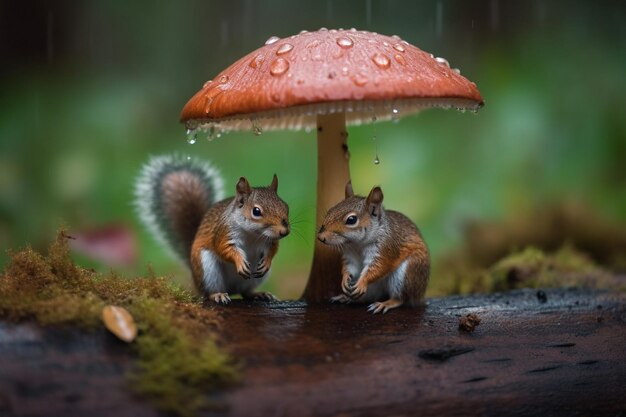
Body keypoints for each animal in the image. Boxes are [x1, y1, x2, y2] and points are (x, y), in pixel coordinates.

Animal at [135, 153, 290, 302]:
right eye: (256, 211)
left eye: (285, 205)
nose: (284, 232)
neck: (253, 234)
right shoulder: (224, 232)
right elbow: (223, 248)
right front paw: (239, 261)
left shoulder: (269, 241)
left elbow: (272, 250)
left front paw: (267, 261)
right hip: (207, 269)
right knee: (209, 292)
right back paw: (217, 295)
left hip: (254, 279)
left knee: (245, 292)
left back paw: (258, 294)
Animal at [316, 181, 428, 312]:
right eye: (330, 210)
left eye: (351, 220)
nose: (321, 237)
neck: (357, 244)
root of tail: (420, 295)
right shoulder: (350, 254)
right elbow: (350, 267)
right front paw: (344, 279)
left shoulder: (385, 247)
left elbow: (378, 267)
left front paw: (362, 282)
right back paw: (347, 298)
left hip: (407, 274)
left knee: (401, 298)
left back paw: (385, 303)